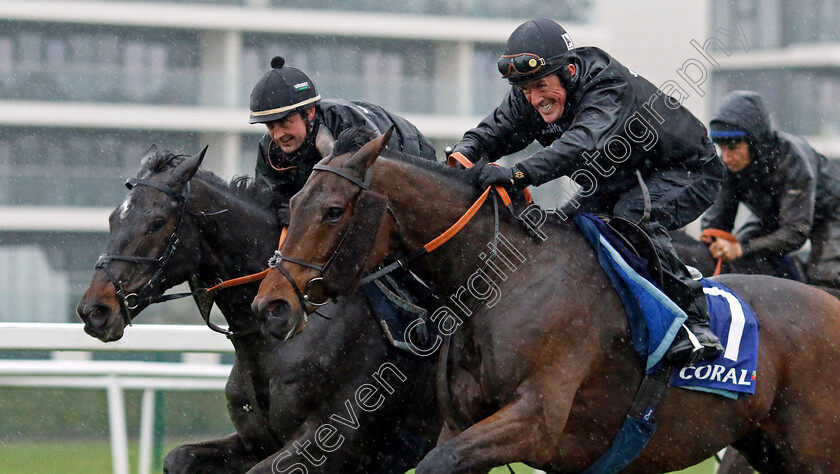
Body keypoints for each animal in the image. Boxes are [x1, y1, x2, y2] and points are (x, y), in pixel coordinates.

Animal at [75, 146, 440, 472]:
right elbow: (179, 457)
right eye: (113, 219)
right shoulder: (257, 440)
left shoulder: (335, 438)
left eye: (156, 222)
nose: (94, 310)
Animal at [251, 128, 840, 472]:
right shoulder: (461, 421)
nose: (271, 306)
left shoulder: (534, 420)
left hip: (812, 450)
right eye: (293, 202)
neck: (503, 282)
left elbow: (439, 462)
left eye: (332, 211)